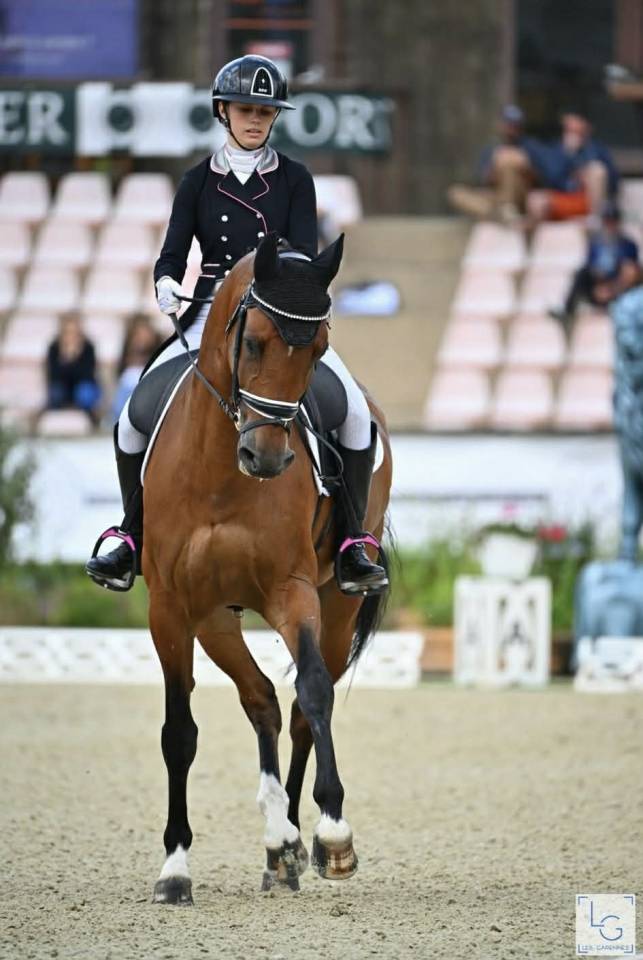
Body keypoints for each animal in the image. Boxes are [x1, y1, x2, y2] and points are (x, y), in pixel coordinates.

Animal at [141, 232, 393, 902]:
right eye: (252, 341)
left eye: (320, 348)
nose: (268, 457)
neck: (220, 476)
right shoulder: (170, 609)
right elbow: (178, 734)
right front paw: (174, 868)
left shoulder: (293, 591)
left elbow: (313, 692)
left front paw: (334, 834)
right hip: (215, 619)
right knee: (260, 701)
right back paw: (279, 844)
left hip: (337, 605)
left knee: (302, 708)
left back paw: (299, 844)